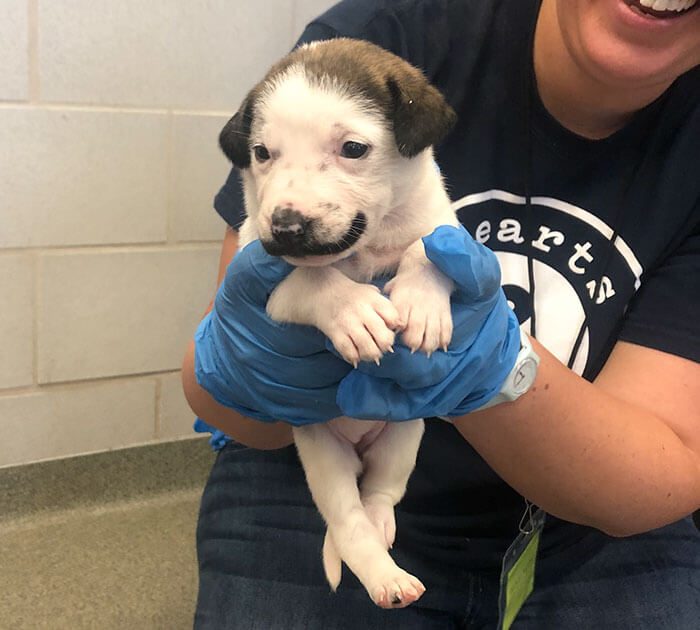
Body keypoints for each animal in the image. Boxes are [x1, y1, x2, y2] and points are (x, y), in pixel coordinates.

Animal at [220, 39, 460, 612]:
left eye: (353, 148)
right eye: (262, 153)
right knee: (348, 522)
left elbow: (427, 249)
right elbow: (311, 279)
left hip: (404, 437)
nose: (285, 227)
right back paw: (383, 576)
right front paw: (354, 312)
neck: (363, 250)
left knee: (380, 494)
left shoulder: (446, 226)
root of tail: (356, 449)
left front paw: (423, 305)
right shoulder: (260, 274)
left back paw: (381, 527)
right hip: (321, 457)